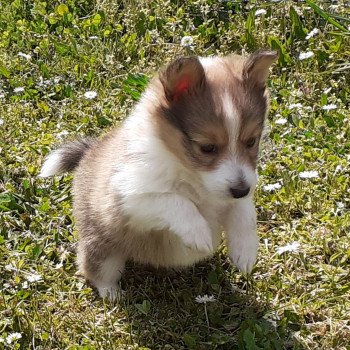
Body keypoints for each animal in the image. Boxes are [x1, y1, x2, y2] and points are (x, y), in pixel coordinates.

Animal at [39, 50, 278, 300]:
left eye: (251, 141)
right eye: (207, 147)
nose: (240, 190)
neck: (191, 174)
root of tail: (88, 152)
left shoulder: (240, 187)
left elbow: (245, 212)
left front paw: (246, 251)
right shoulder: (130, 197)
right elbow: (175, 201)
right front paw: (199, 234)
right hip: (103, 247)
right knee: (95, 270)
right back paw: (113, 294)